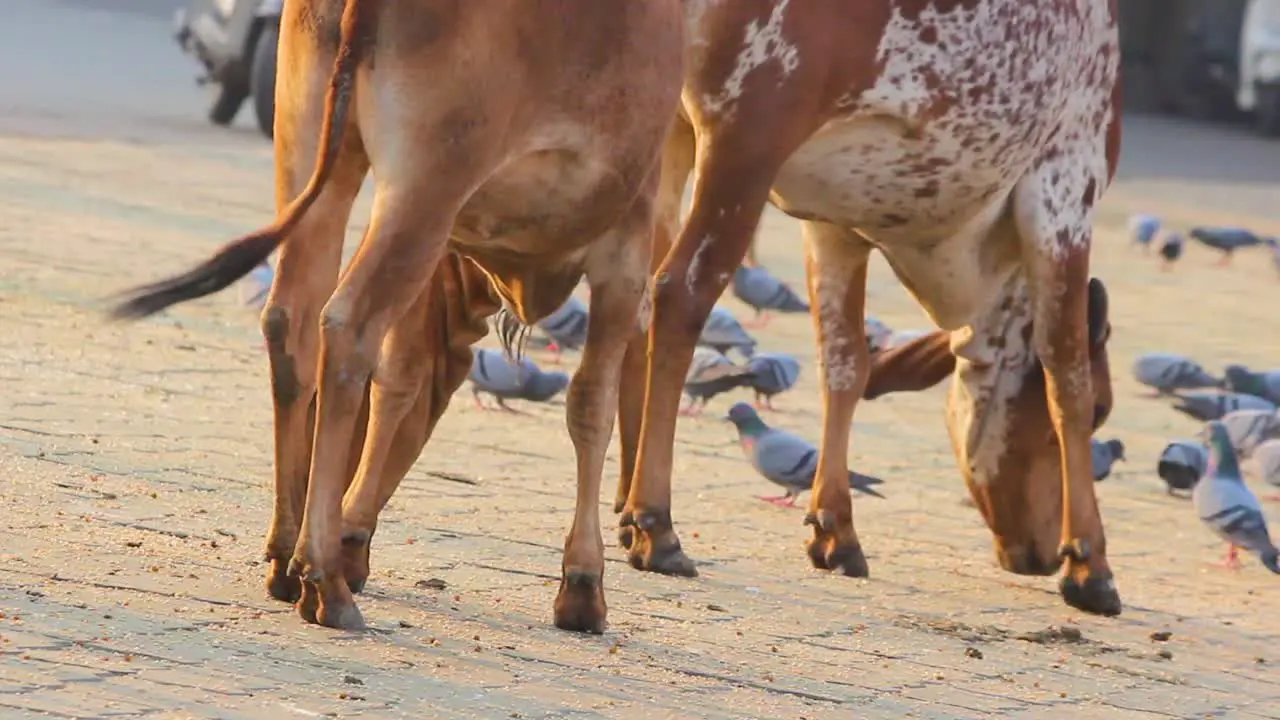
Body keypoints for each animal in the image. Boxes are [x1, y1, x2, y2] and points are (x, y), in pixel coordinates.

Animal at [107, 0, 691, 630]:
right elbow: (590, 406)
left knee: (291, 321)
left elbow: (402, 382)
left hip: (315, 151)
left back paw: (287, 557)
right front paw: (583, 584)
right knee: (348, 327)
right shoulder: (625, 250)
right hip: (425, 188)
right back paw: (325, 579)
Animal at [614, 1, 1126, 609]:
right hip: (746, 140)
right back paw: (656, 524)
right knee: (681, 292)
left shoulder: (834, 226)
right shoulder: (1064, 188)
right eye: (1106, 409)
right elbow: (1066, 377)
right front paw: (1091, 566)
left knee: (637, 295)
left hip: (668, 135)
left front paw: (836, 529)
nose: (1042, 556)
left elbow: (845, 367)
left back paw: (623, 505)